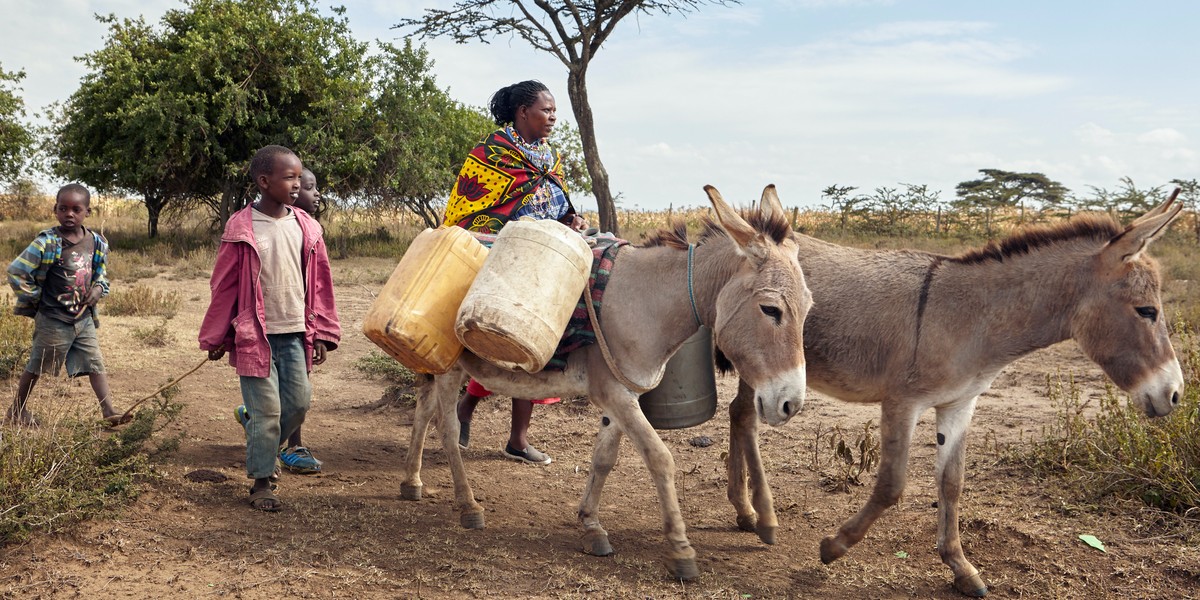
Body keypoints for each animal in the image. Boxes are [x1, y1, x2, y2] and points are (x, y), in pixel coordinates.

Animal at [399, 185, 812, 580]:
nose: (790, 404)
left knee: (423, 412)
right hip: (450, 365)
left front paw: (591, 526)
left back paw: (412, 483)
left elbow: (603, 459)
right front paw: (680, 550)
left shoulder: (623, 394)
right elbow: (660, 458)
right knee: (447, 428)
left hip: (442, 362)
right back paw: (467, 505)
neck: (647, 300)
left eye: (808, 307)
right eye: (771, 309)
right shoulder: (614, 393)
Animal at [721, 193, 1185, 596]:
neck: (971, 317)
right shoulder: (902, 403)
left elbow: (952, 483)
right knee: (745, 416)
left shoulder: (960, 403)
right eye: (1147, 311)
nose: (1176, 394)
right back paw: (759, 518)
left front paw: (961, 568)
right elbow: (891, 485)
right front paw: (834, 546)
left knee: (738, 413)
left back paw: (746, 513)